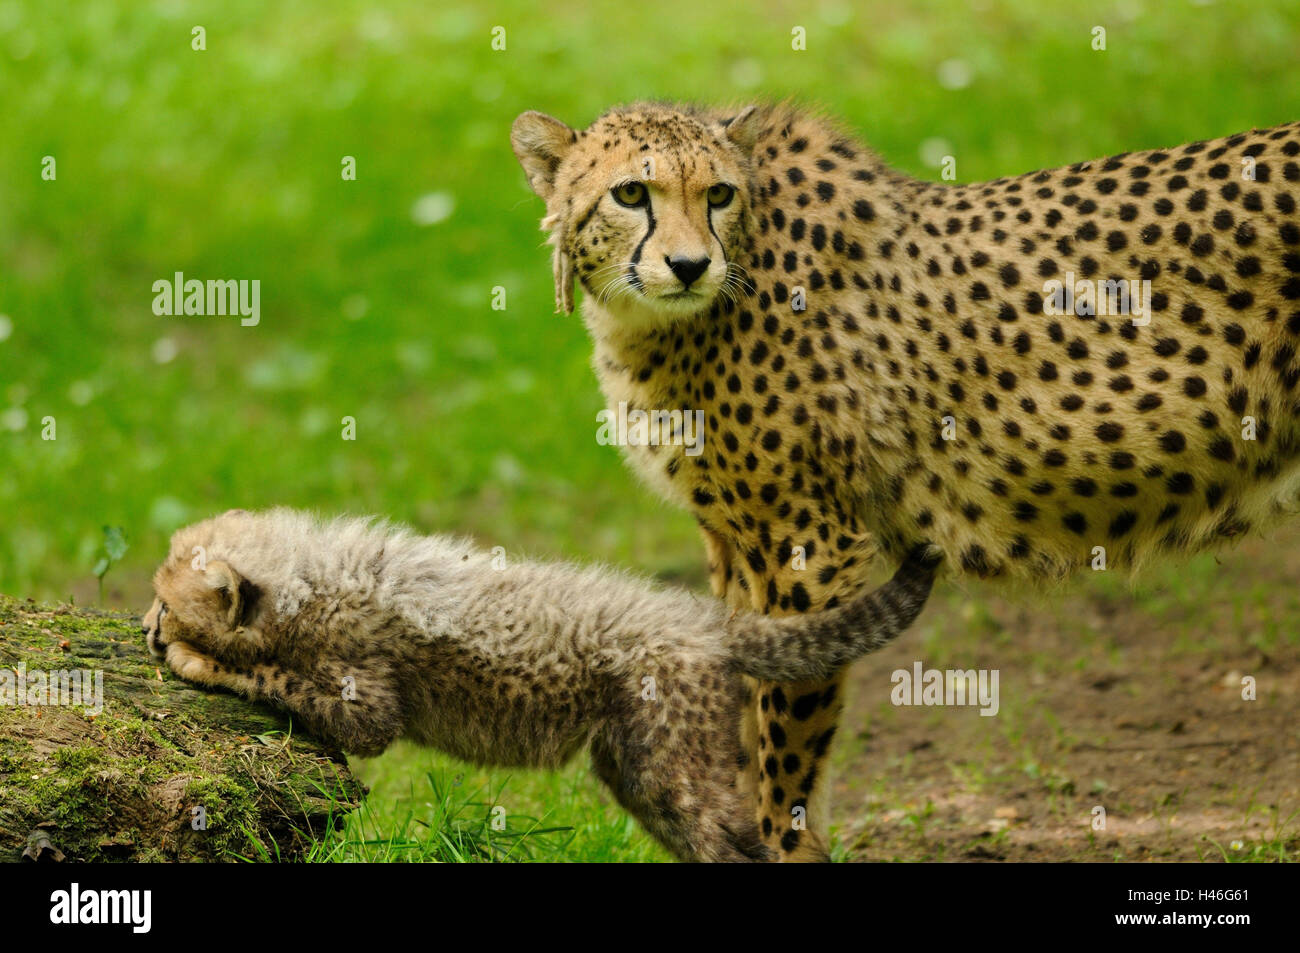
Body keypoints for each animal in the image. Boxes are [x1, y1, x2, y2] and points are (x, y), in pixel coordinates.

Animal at [509, 100, 1300, 858]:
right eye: (630, 193)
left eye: (719, 193)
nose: (688, 265)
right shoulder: (734, 540)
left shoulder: (807, 542)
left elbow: (785, 729)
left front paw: (781, 844)